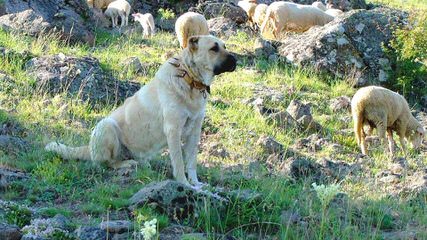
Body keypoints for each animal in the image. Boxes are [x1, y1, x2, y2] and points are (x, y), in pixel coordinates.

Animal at [46, 35, 237, 188]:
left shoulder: (194, 131)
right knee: (108, 163)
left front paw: (196, 183)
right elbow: (179, 163)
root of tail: (89, 148)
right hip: (107, 126)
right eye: (214, 48)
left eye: (224, 46)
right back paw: (127, 164)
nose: (235, 60)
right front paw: (184, 184)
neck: (189, 78)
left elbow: (191, 163)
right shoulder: (173, 130)